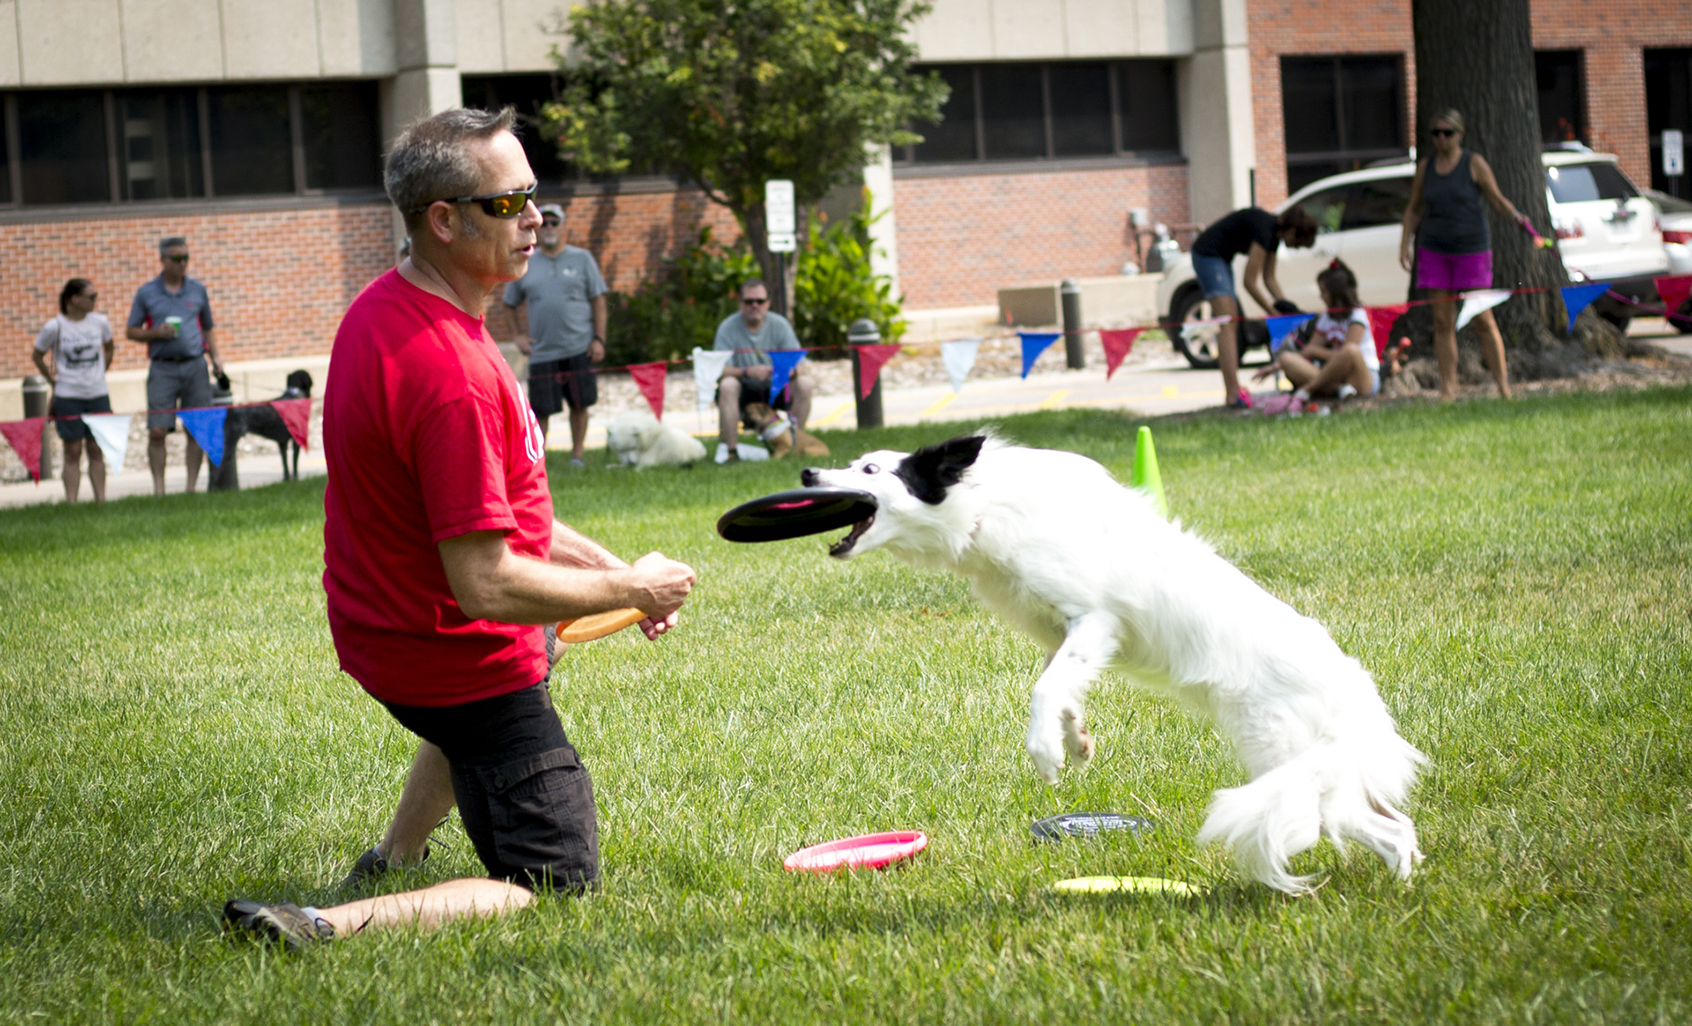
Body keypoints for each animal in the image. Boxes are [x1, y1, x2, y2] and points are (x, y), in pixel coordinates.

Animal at [805, 433, 1428, 893]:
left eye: (870, 469)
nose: (808, 475)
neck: (981, 505)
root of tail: (1355, 697)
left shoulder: (1094, 620)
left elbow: (1044, 689)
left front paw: (1047, 752)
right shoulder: (1063, 634)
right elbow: (1059, 685)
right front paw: (1077, 740)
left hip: (1289, 763)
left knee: (1385, 829)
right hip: (1318, 780)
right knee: (1395, 826)